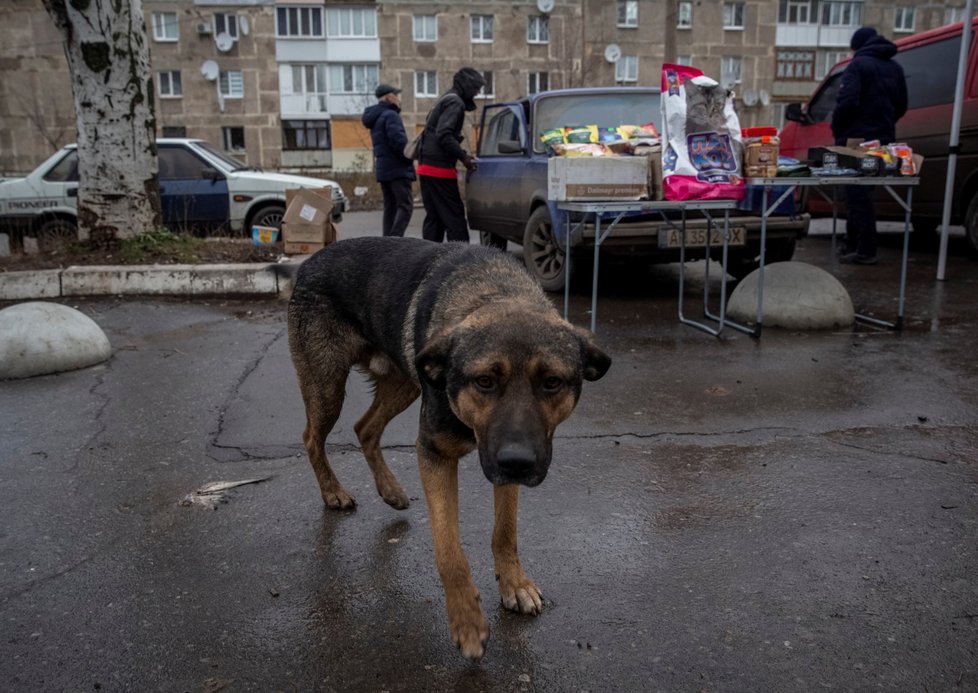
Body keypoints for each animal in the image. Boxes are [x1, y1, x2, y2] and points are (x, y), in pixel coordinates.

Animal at [282, 238, 612, 660]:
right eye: (485, 381)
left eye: (552, 382)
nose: (518, 463)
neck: (493, 291)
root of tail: (310, 261)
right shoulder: (435, 455)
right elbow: (449, 551)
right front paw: (467, 621)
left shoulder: (503, 463)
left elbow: (505, 530)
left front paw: (514, 583)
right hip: (328, 387)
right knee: (313, 437)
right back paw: (333, 492)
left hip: (404, 383)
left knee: (364, 428)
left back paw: (389, 489)